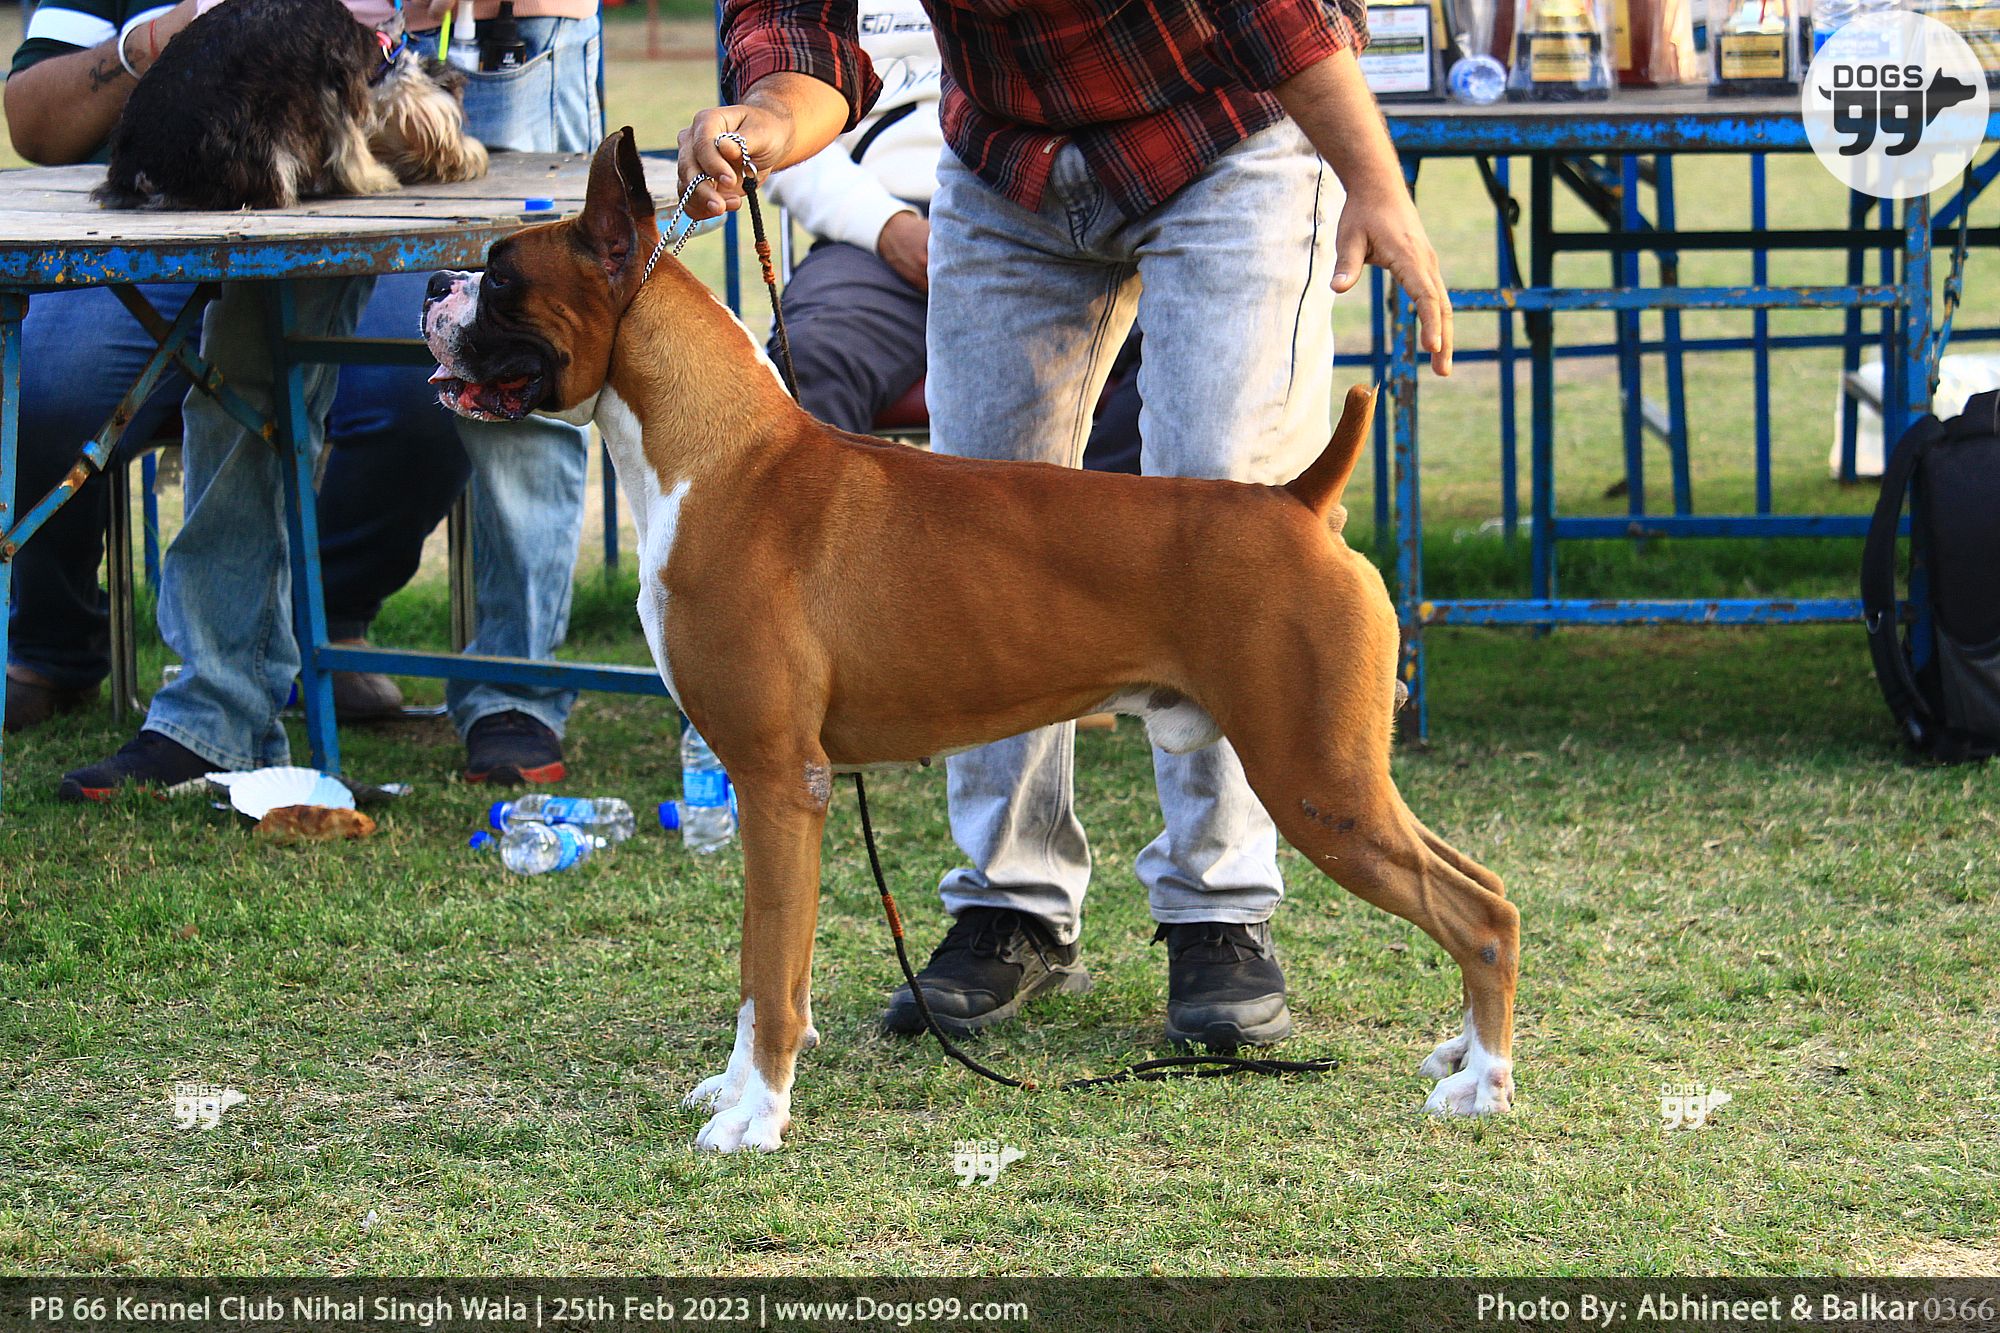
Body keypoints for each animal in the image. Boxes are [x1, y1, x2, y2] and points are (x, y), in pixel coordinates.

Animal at [95, 0, 486, 211]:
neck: (379, 59)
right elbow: (351, 149)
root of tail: (136, 172)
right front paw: (374, 178)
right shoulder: (334, 88)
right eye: (458, 122)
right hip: (254, 145)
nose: (474, 160)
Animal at [422, 129, 1520, 1152]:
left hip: (1314, 779)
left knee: (1480, 914)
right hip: (1339, 775)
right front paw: (737, 1090)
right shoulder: (768, 787)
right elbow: (758, 968)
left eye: (505, 280)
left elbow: (769, 972)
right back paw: (1462, 1053)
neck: (720, 456)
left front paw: (757, 1117)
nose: (436, 281)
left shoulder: (780, 784)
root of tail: (1297, 499)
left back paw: (1485, 1085)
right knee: (1485, 888)